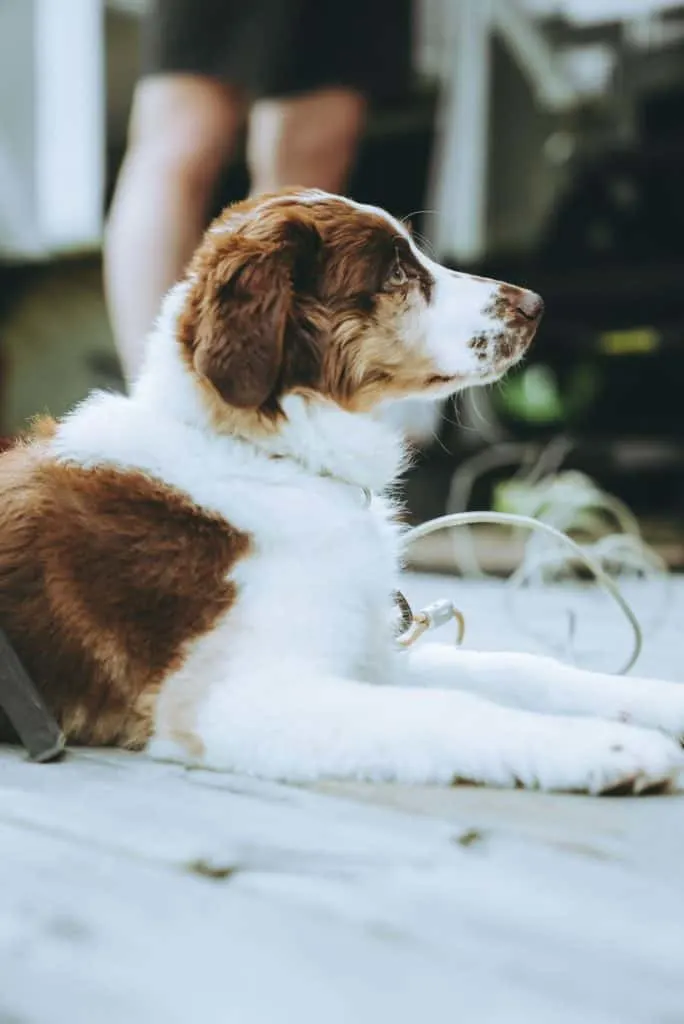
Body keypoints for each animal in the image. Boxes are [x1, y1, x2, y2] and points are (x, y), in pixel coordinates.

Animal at [1, 192, 684, 794]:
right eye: (399, 272)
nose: (537, 304)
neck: (275, 458)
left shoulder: (373, 654)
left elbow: (518, 666)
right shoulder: (229, 696)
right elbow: (449, 708)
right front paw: (609, 749)